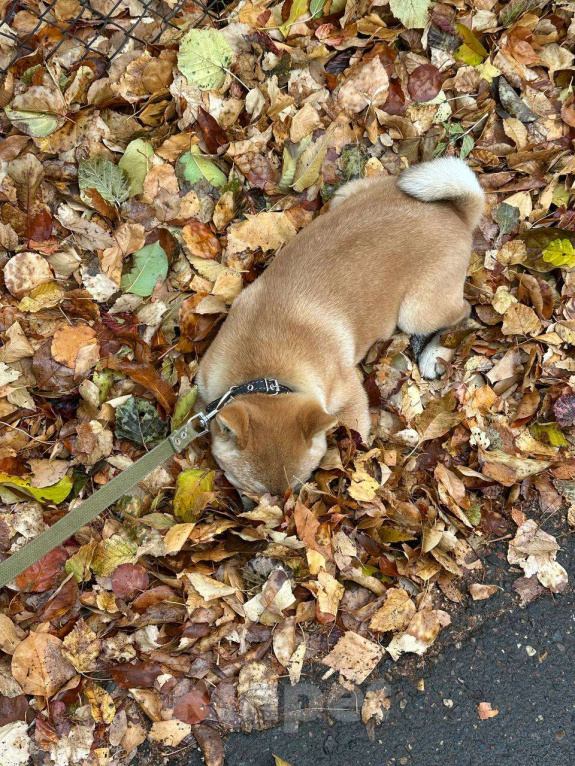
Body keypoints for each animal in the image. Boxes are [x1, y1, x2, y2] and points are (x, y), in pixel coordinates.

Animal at [197, 158, 486, 496]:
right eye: (250, 491)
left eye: (301, 484)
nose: (279, 510)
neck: (263, 369)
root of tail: (458, 215)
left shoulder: (350, 398)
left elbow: (358, 436)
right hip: (345, 196)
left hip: (416, 312)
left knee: (464, 312)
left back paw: (433, 354)